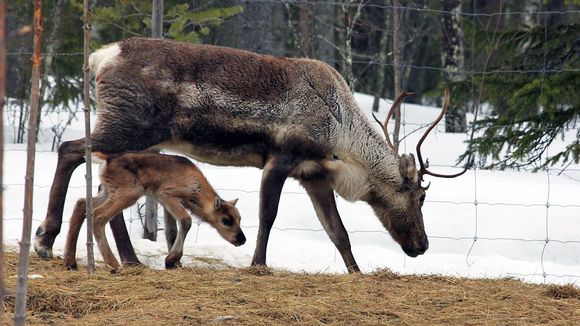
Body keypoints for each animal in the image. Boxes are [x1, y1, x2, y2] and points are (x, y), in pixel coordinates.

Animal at [64, 153, 246, 270]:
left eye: (240, 218)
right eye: (226, 220)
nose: (242, 239)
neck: (196, 191)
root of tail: (106, 161)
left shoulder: (165, 203)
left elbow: (171, 230)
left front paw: (175, 262)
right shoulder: (166, 194)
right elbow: (186, 221)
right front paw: (171, 260)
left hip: (108, 191)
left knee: (82, 204)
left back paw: (70, 262)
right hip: (130, 191)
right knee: (98, 215)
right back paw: (114, 264)